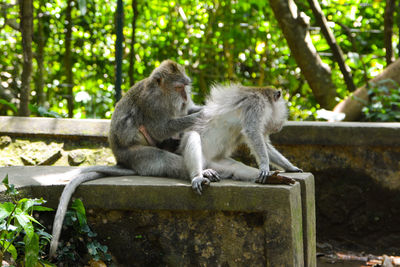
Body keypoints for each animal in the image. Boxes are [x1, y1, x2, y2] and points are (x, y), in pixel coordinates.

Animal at [50, 61, 220, 260]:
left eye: (186, 87)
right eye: (179, 87)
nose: (185, 98)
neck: (163, 93)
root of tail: (122, 161)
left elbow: (184, 113)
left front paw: (201, 108)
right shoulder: (152, 104)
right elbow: (160, 129)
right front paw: (199, 115)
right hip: (139, 156)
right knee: (163, 158)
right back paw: (198, 175)